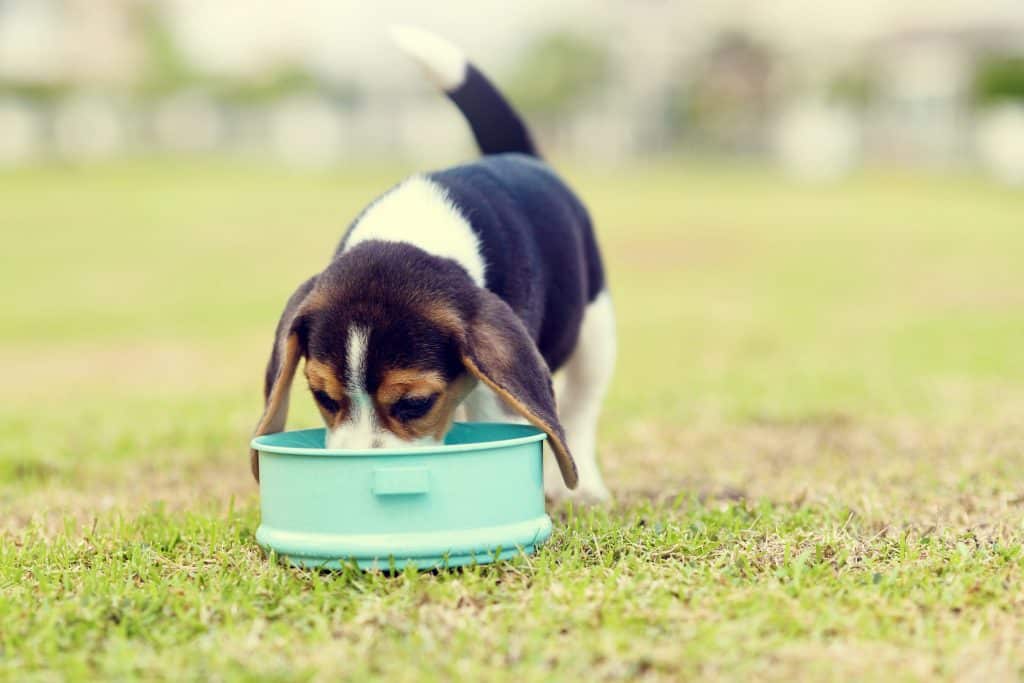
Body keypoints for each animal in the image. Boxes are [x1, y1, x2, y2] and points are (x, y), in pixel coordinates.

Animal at [247, 26, 614, 501]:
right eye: (324, 398)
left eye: (415, 403)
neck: (410, 233)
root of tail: (521, 156)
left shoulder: (494, 389)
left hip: (596, 328)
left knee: (581, 405)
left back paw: (582, 488)